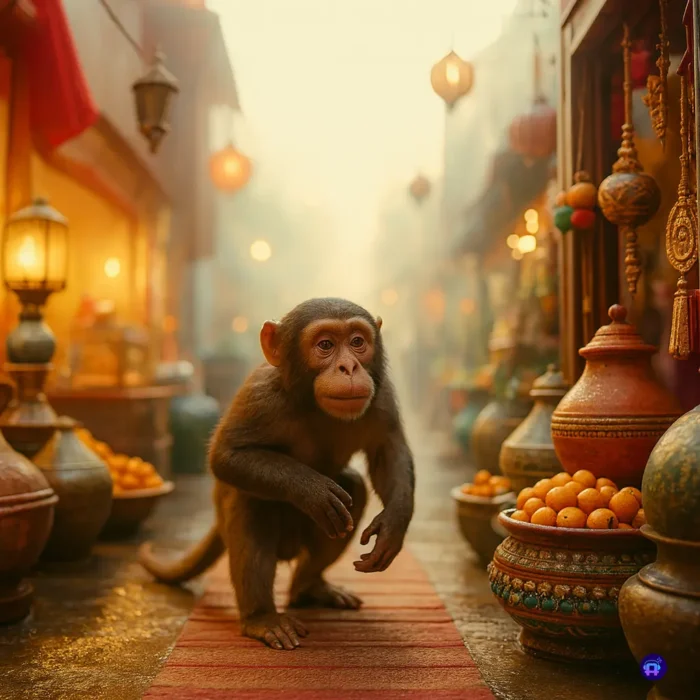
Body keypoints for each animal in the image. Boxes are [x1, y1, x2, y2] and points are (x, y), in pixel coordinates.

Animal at [139, 298, 415, 651]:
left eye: (357, 342)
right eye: (325, 345)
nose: (349, 367)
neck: (312, 404)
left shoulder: (380, 395)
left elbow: (388, 450)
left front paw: (394, 525)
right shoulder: (260, 396)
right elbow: (226, 456)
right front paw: (311, 490)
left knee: (353, 489)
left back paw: (309, 588)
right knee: (251, 503)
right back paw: (261, 617)